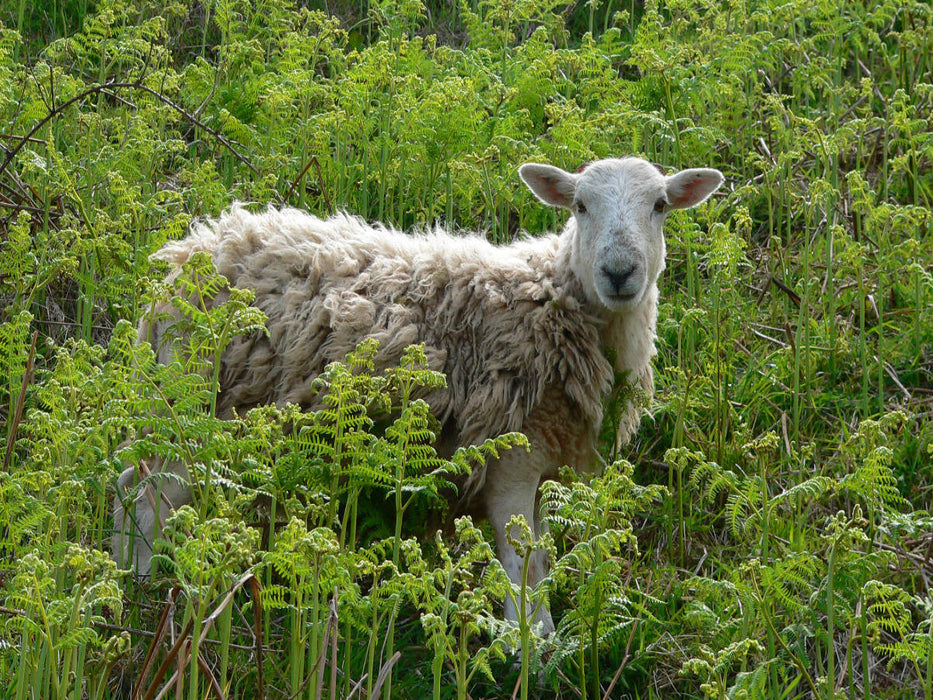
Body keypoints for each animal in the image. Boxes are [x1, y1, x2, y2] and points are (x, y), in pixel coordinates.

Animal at [113, 156, 724, 634]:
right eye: (579, 206)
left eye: (660, 205)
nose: (619, 272)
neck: (553, 299)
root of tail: (179, 259)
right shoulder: (511, 453)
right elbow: (520, 560)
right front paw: (530, 644)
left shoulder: (545, 456)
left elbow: (541, 554)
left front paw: (540, 637)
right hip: (189, 400)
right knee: (148, 494)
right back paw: (143, 587)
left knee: (136, 482)